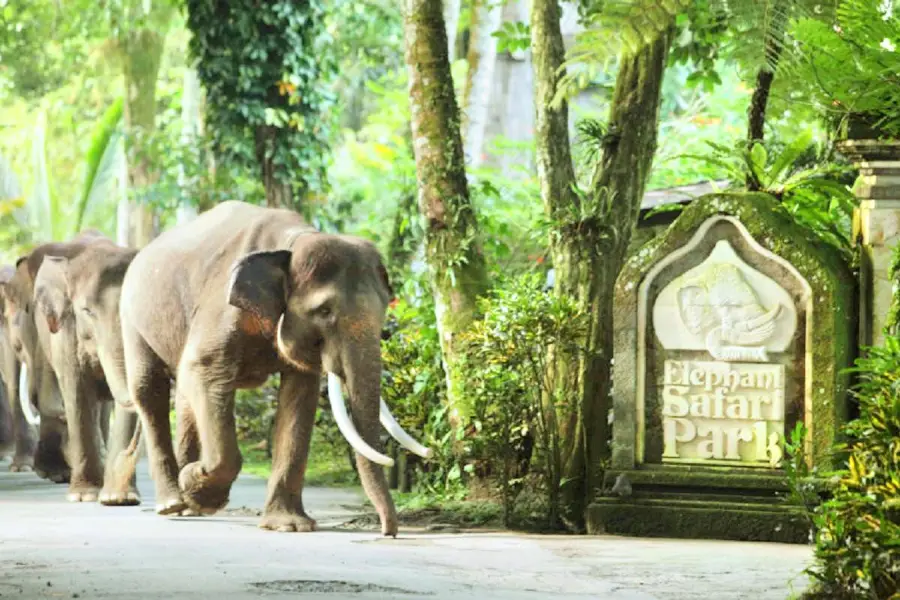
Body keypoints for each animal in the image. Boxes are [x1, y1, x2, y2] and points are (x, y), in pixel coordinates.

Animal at [120, 200, 432, 536]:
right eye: (325, 311)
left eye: (385, 307)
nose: (389, 531)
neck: (293, 242)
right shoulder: (221, 308)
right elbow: (204, 369)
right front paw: (197, 487)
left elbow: (300, 395)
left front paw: (289, 526)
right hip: (132, 318)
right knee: (150, 389)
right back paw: (173, 503)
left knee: (184, 397)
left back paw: (188, 507)